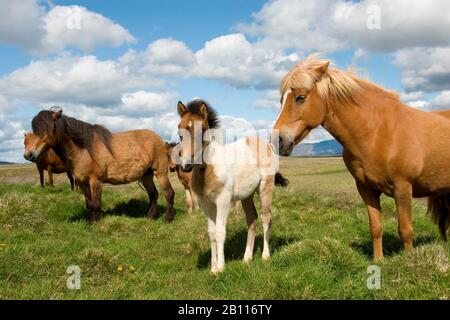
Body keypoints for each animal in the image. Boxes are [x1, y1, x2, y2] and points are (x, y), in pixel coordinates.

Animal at [24, 109, 176, 224]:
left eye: (47, 129)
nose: (28, 155)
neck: (83, 149)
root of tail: (160, 140)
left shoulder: (95, 181)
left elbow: (96, 204)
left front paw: (96, 225)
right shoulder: (82, 183)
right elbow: (89, 204)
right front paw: (90, 223)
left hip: (160, 173)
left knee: (168, 193)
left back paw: (168, 219)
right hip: (146, 175)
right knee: (153, 194)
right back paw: (149, 217)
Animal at [272, 53, 450, 262]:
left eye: (300, 97)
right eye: (281, 100)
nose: (278, 140)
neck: (377, 132)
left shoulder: (403, 189)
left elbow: (406, 231)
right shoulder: (366, 189)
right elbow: (376, 228)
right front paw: (378, 261)